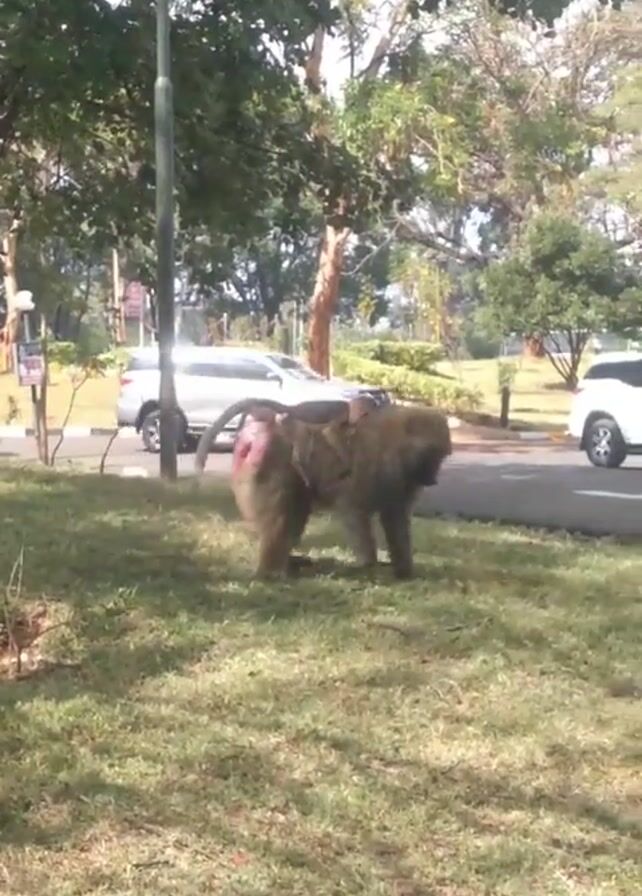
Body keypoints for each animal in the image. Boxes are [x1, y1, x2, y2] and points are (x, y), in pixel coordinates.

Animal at [194, 396, 451, 580]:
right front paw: (370, 566)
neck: (397, 443)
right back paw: (271, 573)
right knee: (283, 519)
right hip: (272, 458)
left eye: (441, 457)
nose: (433, 479)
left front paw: (404, 570)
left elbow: (394, 518)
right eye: (434, 455)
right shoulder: (383, 466)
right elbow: (354, 512)